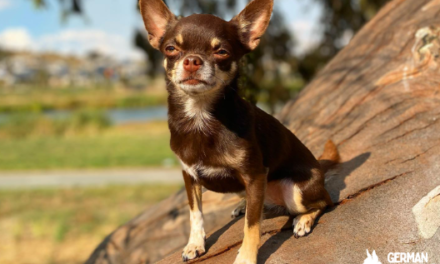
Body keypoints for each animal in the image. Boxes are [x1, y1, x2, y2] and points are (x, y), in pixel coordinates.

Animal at [139, 0, 338, 262]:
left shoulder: (254, 175)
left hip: (296, 190)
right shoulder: (190, 177)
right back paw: (245, 206)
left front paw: (246, 257)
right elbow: (195, 213)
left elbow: (251, 226)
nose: (192, 60)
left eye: (222, 52)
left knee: (324, 202)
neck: (200, 117)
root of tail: (319, 169)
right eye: (171, 48)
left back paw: (303, 219)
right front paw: (194, 243)